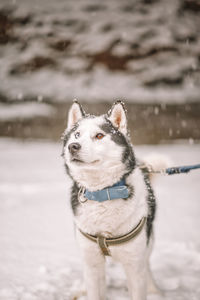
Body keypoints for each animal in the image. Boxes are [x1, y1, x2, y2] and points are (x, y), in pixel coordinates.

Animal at [62, 101, 159, 300]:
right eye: (77, 134)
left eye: (99, 135)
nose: (73, 146)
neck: (102, 193)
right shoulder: (92, 261)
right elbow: (94, 290)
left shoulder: (134, 264)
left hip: (148, 241)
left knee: (147, 263)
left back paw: (155, 289)